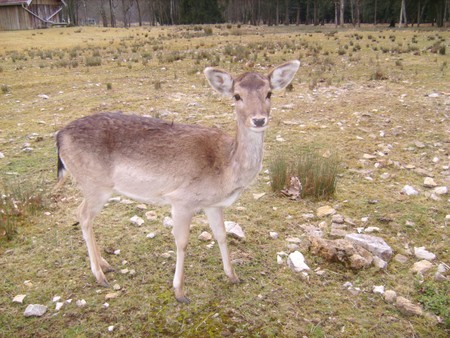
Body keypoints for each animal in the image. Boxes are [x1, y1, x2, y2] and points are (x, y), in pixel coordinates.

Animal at [56, 59, 300, 302]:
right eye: (237, 95)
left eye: (269, 93)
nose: (258, 119)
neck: (226, 169)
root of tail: (59, 136)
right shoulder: (181, 200)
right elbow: (182, 242)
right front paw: (180, 291)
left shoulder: (212, 204)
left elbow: (221, 235)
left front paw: (233, 276)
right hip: (95, 185)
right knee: (83, 215)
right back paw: (100, 275)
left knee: (82, 214)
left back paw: (105, 265)